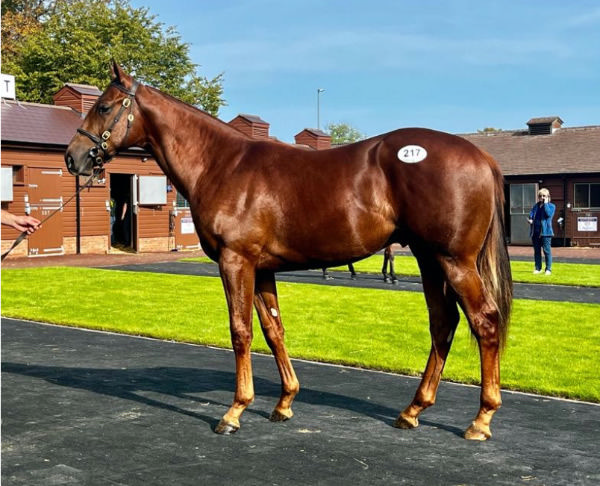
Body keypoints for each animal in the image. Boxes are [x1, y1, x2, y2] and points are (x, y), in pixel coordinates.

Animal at [68, 63, 512, 440]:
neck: (221, 164)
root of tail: (481, 157)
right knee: (444, 324)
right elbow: (273, 330)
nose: (73, 156)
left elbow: (241, 331)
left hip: (454, 262)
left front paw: (234, 411)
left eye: (104, 106)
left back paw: (480, 419)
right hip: (429, 260)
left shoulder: (236, 261)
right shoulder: (262, 268)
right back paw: (413, 410)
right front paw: (284, 402)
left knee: (485, 322)